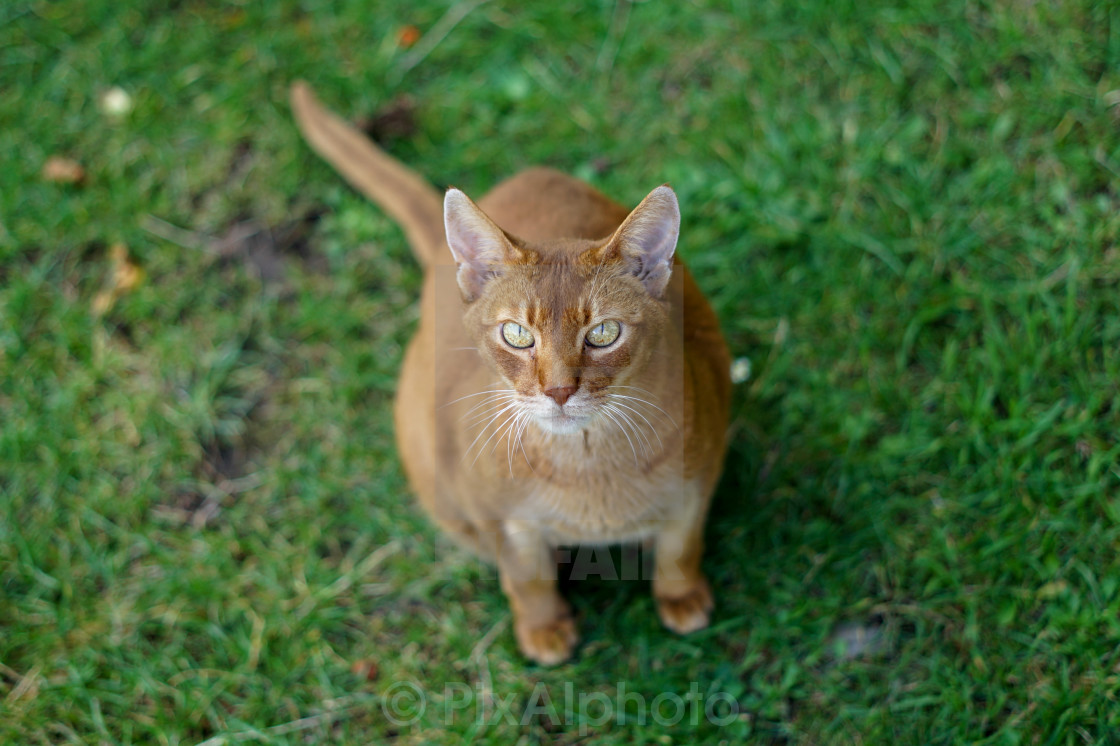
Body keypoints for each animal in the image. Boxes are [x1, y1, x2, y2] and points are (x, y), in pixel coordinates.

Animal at [288, 81, 730, 663]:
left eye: (604, 333)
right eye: (517, 335)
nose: (559, 390)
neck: (587, 469)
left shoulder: (697, 483)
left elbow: (681, 548)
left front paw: (681, 598)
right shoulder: (497, 514)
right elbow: (525, 576)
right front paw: (544, 630)